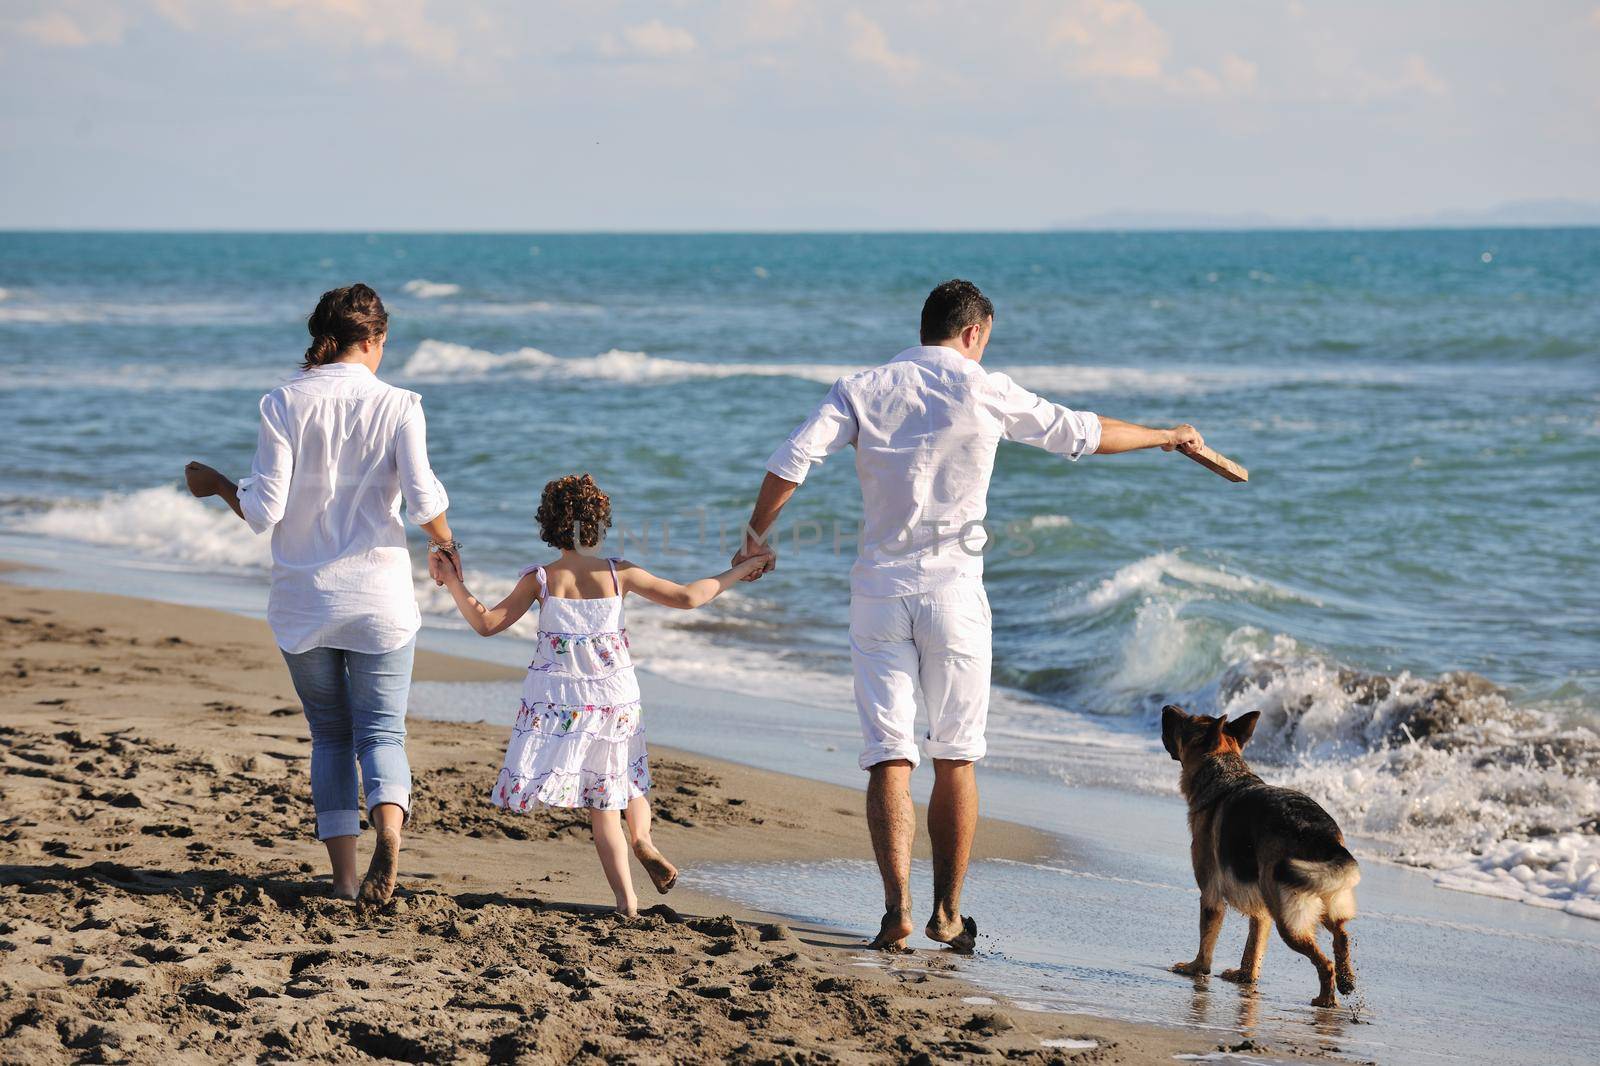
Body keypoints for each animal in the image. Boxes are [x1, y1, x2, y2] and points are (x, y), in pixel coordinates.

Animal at [1164, 701, 1363, 998]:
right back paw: (1346, 979)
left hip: (1288, 918)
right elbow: (1253, 945)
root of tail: (1324, 837)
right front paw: (1245, 977)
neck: (1225, 770)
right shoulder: (1261, 909)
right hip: (1322, 897)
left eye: (1186, 722)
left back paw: (1326, 999)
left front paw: (1196, 968)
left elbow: (1207, 938)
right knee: (1342, 935)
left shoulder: (1210, 894)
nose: (1165, 706)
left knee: (1324, 962)